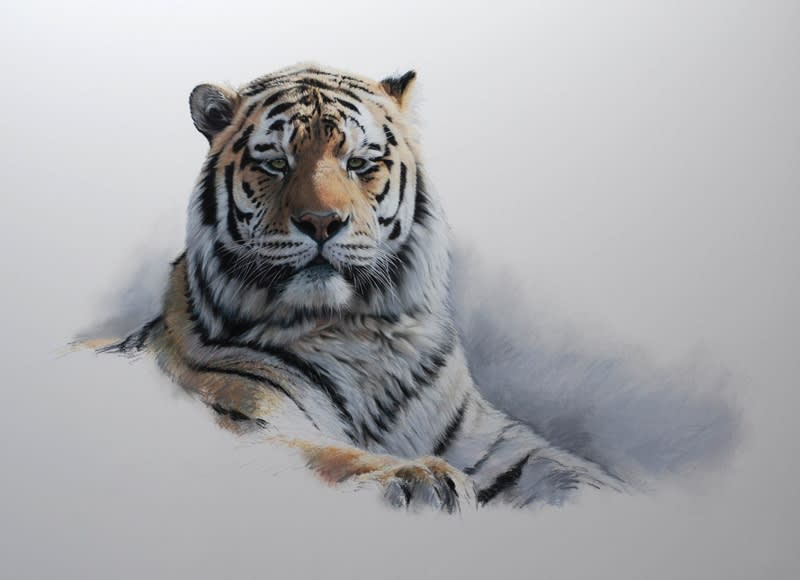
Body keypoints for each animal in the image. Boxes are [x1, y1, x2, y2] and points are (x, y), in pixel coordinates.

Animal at [95, 63, 623, 511]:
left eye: (359, 163)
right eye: (276, 164)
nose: (321, 221)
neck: (354, 332)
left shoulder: (489, 438)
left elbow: (569, 469)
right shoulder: (245, 418)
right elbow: (322, 454)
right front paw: (419, 478)